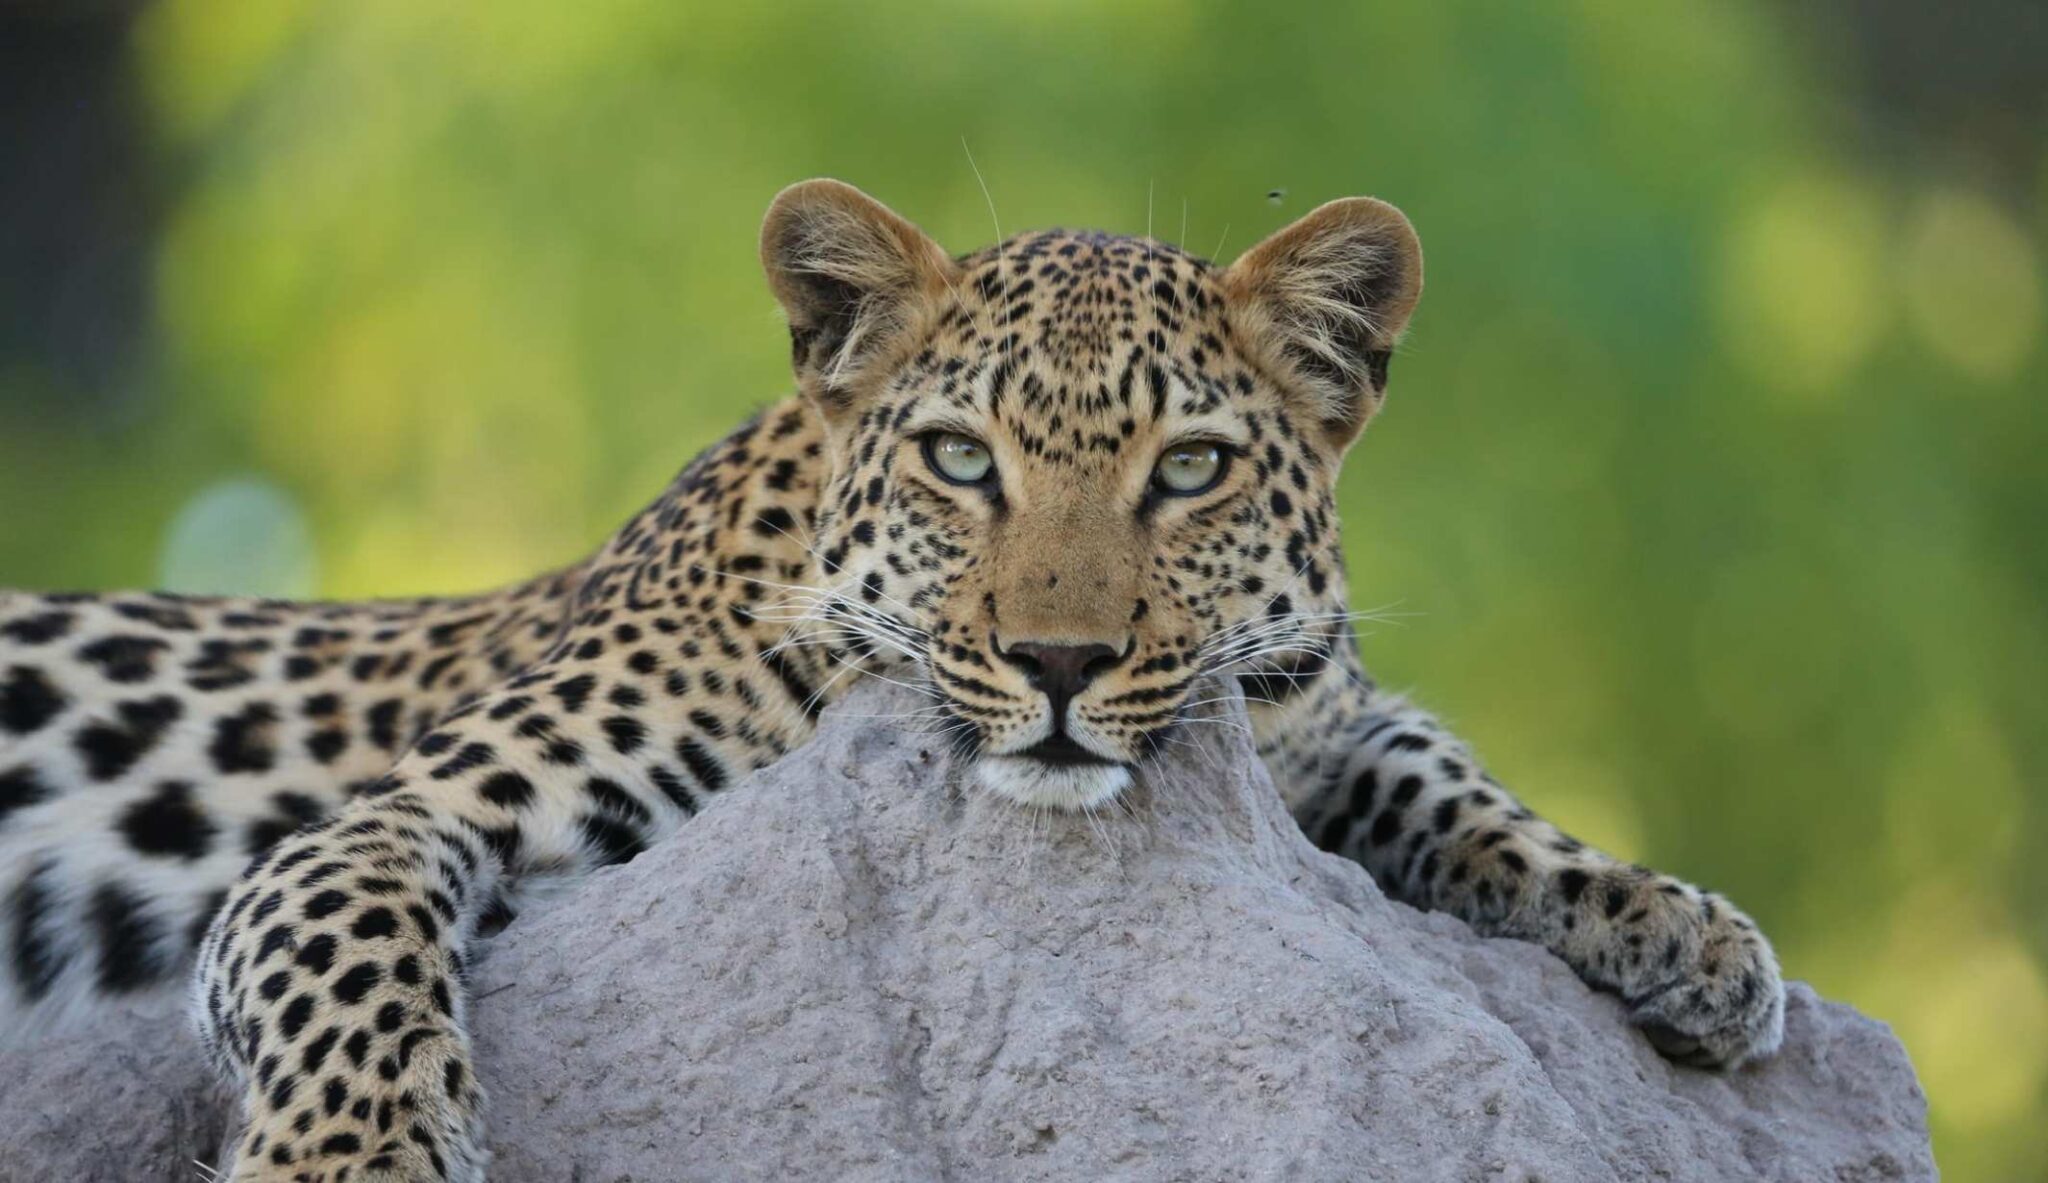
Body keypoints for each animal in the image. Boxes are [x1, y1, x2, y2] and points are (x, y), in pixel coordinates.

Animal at [0, 179, 1783, 1181]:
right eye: (960, 458)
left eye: (1190, 468)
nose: (1060, 661)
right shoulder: (389, 818)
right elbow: (348, 939)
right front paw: (346, 1161)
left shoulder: (1294, 723)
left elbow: (1448, 773)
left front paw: (1678, 926)